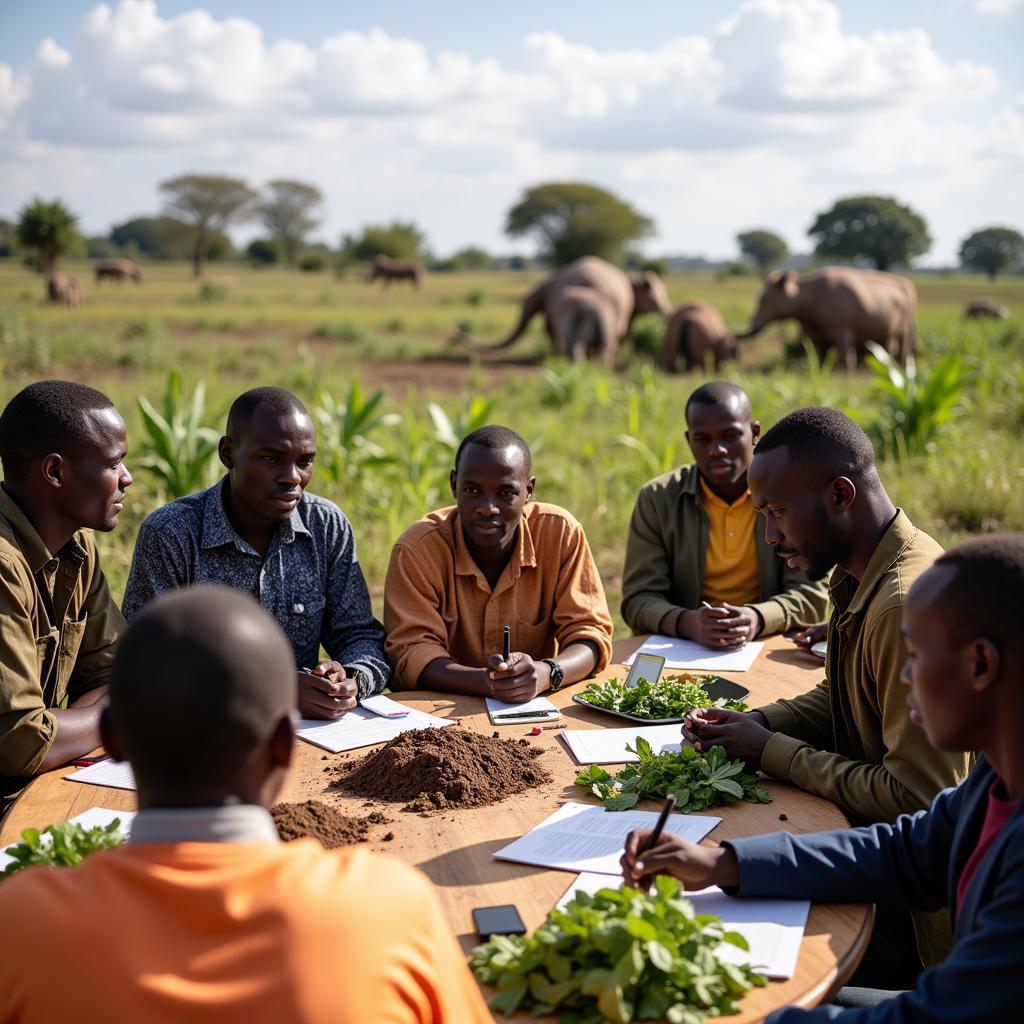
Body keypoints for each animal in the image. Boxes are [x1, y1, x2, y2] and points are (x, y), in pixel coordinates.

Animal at [737, 268, 921, 368]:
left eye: (765, 299)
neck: (811, 296)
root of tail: (907, 284)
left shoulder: (843, 329)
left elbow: (845, 352)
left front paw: (844, 370)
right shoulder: (814, 333)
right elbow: (818, 353)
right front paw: (819, 367)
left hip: (905, 329)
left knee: (903, 348)